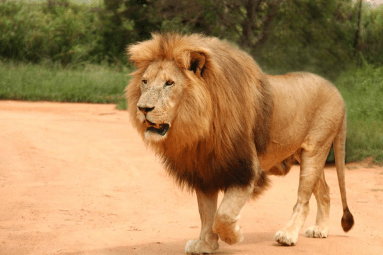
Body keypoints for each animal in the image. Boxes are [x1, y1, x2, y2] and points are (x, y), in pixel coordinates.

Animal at [127, 33, 356, 253]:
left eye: (169, 83)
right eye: (145, 81)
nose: (143, 108)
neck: (200, 126)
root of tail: (337, 92)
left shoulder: (245, 169)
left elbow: (223, 215)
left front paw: (234, 236)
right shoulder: (204, 171)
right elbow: (206, 213)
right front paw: (206, 245)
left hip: (315, 150)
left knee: (304, 199)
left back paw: (288, 235)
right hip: (304, 154)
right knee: (325, 192)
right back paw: (320, 229)